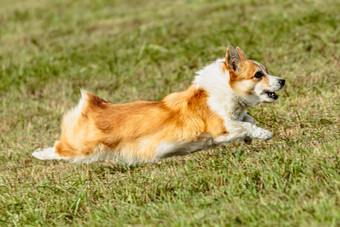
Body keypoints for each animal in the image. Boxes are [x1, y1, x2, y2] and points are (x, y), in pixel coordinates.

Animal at [33, 45, 284, 164]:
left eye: (267, 71)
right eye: (258, 75)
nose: (282, 80)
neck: (224, 93)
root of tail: (97, 106)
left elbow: (248, 120)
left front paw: (250, 136)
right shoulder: (221, 128)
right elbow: (246, 125)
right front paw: (264, 134)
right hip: (82, 149)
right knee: (58, 149)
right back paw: (39, 153)